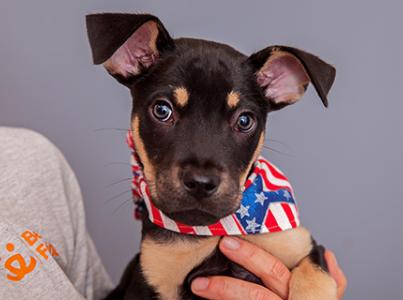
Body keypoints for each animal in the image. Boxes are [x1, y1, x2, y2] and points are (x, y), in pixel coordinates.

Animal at [87, 12, 340, 298]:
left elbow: (315, 278)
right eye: (162, 110)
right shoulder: (151, 275)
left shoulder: (302, 245)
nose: (201, 183)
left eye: (244, 121)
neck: (212, 230)